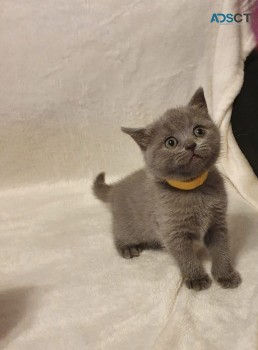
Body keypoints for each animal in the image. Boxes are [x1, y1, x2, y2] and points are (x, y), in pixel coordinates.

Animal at [93, 89, 242, 292]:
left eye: (199, 131)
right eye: (170, 142)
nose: (191, 145)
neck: (193, 189)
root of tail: (116, 186)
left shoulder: (217, 222)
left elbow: (221, 249)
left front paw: (225, 275)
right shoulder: (172, 230)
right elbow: (185, 256)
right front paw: (196, 278)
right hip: (127, 226)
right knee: (118, 234)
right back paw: (127, 248)